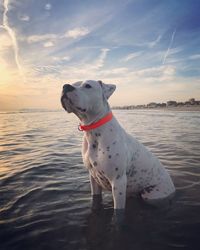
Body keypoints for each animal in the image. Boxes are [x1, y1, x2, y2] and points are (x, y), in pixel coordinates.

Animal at [61, 79, 175, 223]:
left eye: (87, 86)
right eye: (73, 83)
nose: (65, 86)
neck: (94, 132)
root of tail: (173, 186)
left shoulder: (118, 182)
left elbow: (118, 212)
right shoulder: (93, 179)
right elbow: (95, 199)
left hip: (153, 193)